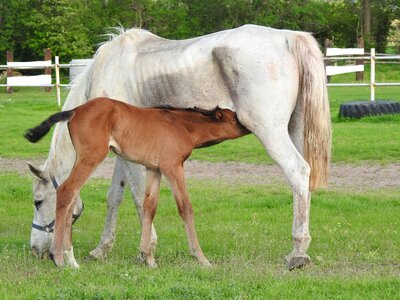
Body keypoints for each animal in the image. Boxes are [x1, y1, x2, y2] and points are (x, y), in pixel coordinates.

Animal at [25, 96, 248, 268]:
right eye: (234, 118)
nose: (247, 125)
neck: (181, 126)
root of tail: (75, 111)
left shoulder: (154, 169)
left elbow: (149, 206)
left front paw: (148, 258)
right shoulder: (172, 166)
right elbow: (185, 207)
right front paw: (201, 258)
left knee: (71, 199)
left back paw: (71, 260)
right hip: (92, 156)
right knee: (66, 191)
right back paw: (59, 258)